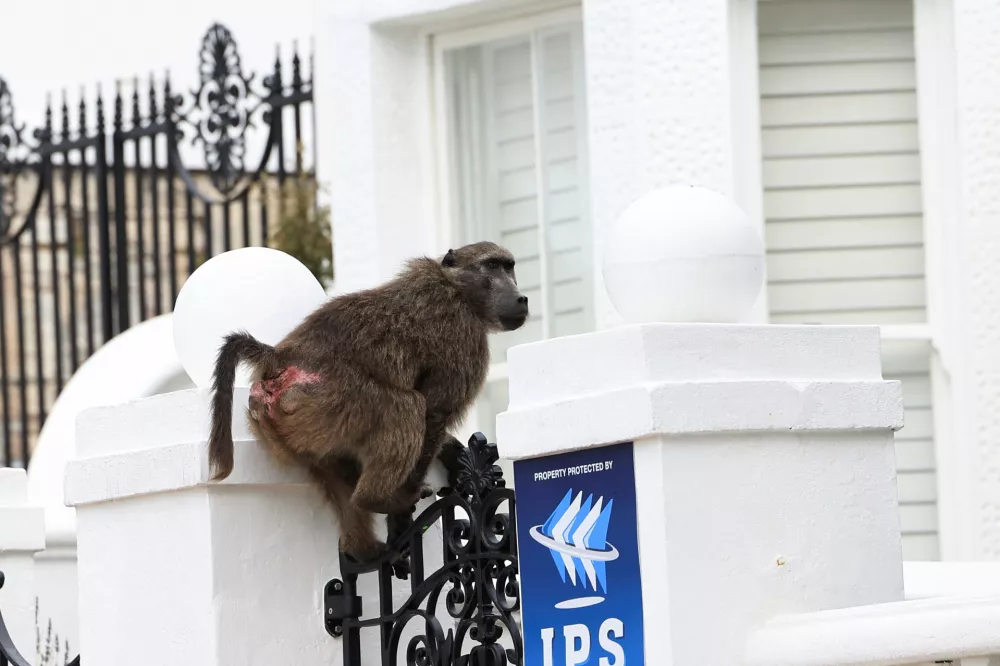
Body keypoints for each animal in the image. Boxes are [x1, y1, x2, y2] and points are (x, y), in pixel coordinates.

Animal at [207, 241, 528, 561]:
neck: (456, 287)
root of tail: (279, 358)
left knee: (332, 467)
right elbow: (435, 411)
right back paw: (379, 499)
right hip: (332, 396)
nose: (521, 298)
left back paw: (362, 549)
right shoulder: (464, 336)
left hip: (296, 424)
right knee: (407, 407)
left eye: (509, 266)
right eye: (491, 266)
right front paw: (403, 509)